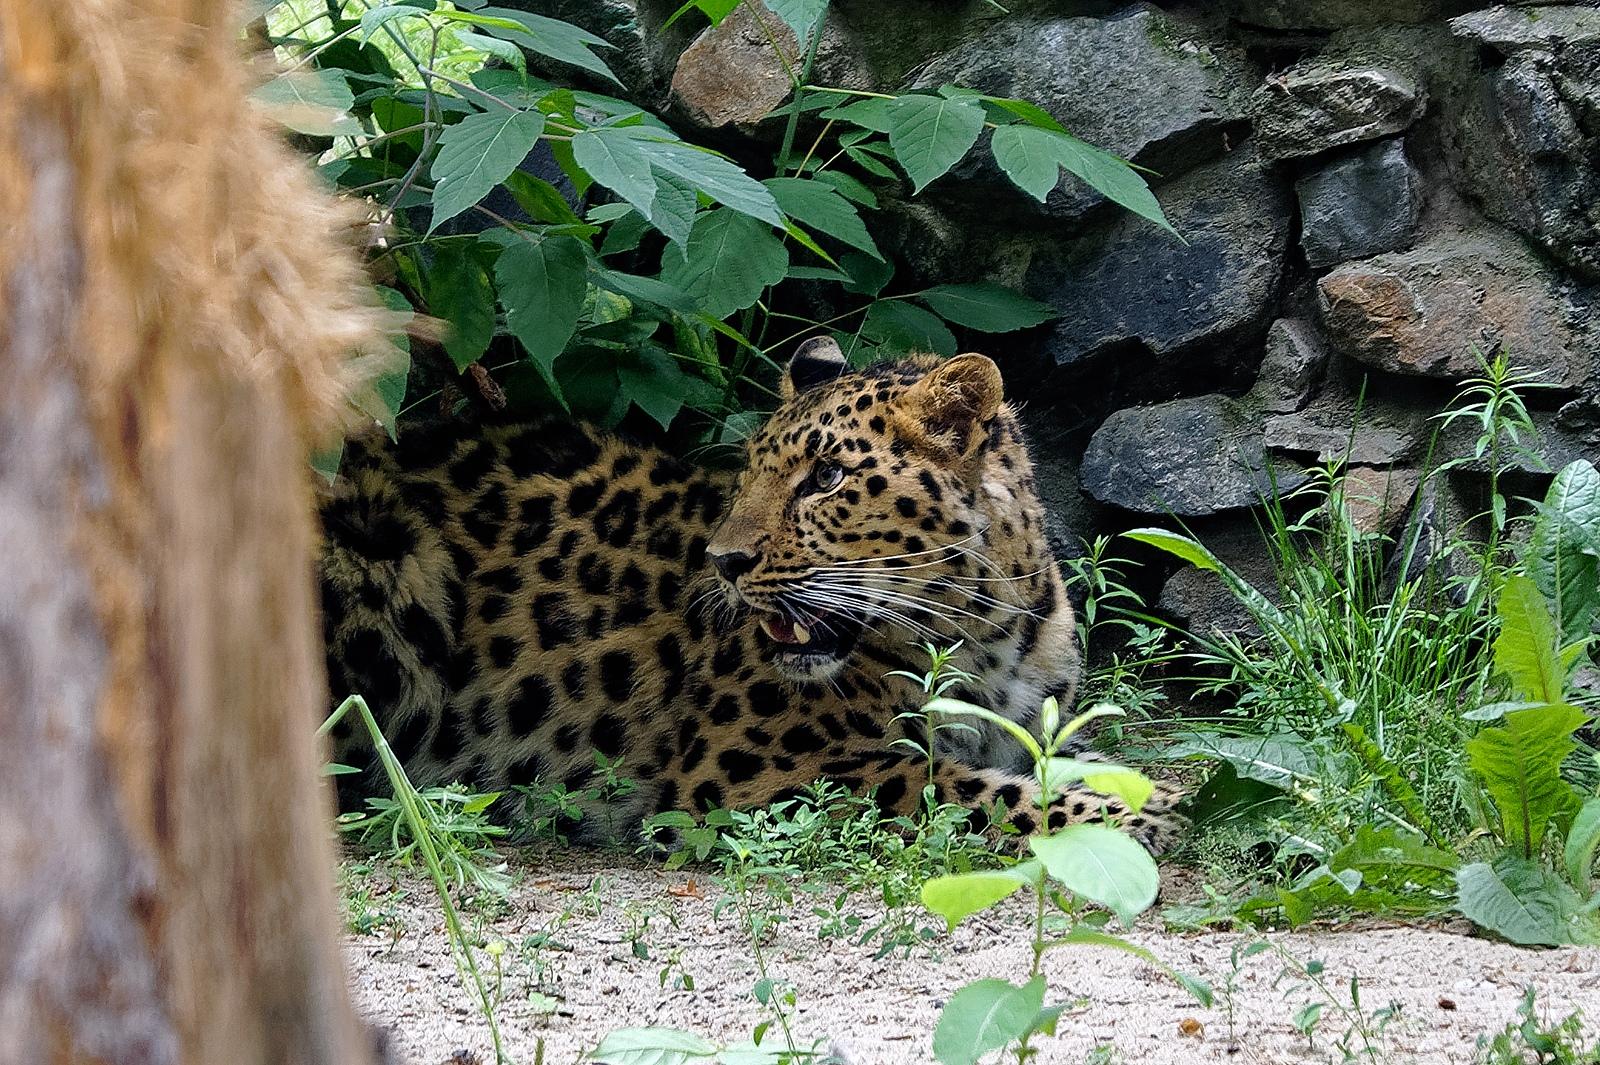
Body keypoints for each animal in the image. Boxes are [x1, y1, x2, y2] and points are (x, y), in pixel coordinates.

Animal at [315, 335, 1190, 850]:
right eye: (752, 473)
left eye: (827, 478)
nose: (724, 560)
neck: (984, 626)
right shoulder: (754, 766)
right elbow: (958, 789)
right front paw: (1139, 812)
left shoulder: (1036, 727)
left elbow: (1065, 764)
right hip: (378, 551)